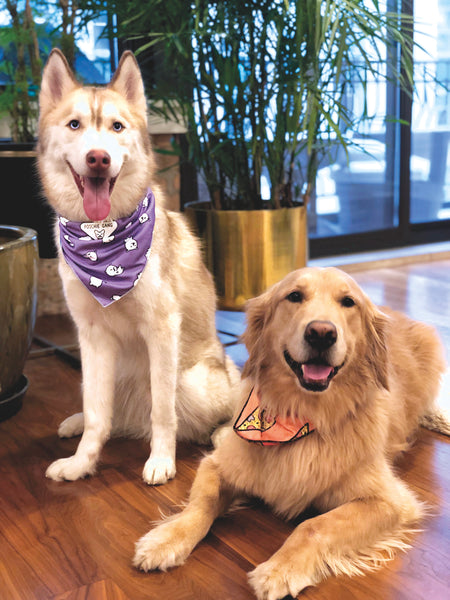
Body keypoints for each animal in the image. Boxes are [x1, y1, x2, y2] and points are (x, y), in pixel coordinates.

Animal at [38, 49, 241, 486]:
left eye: (117, 126)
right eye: (75, 124)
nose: (99, 158)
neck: (103, 240)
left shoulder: (161, 331)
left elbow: (163, 411)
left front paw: (161, 460)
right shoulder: (92, 336)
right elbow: (98, 414)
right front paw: (82, 462)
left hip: (196, 379)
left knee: (229, 408)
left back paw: (221, 433)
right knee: (108, 413)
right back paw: (77, 422)